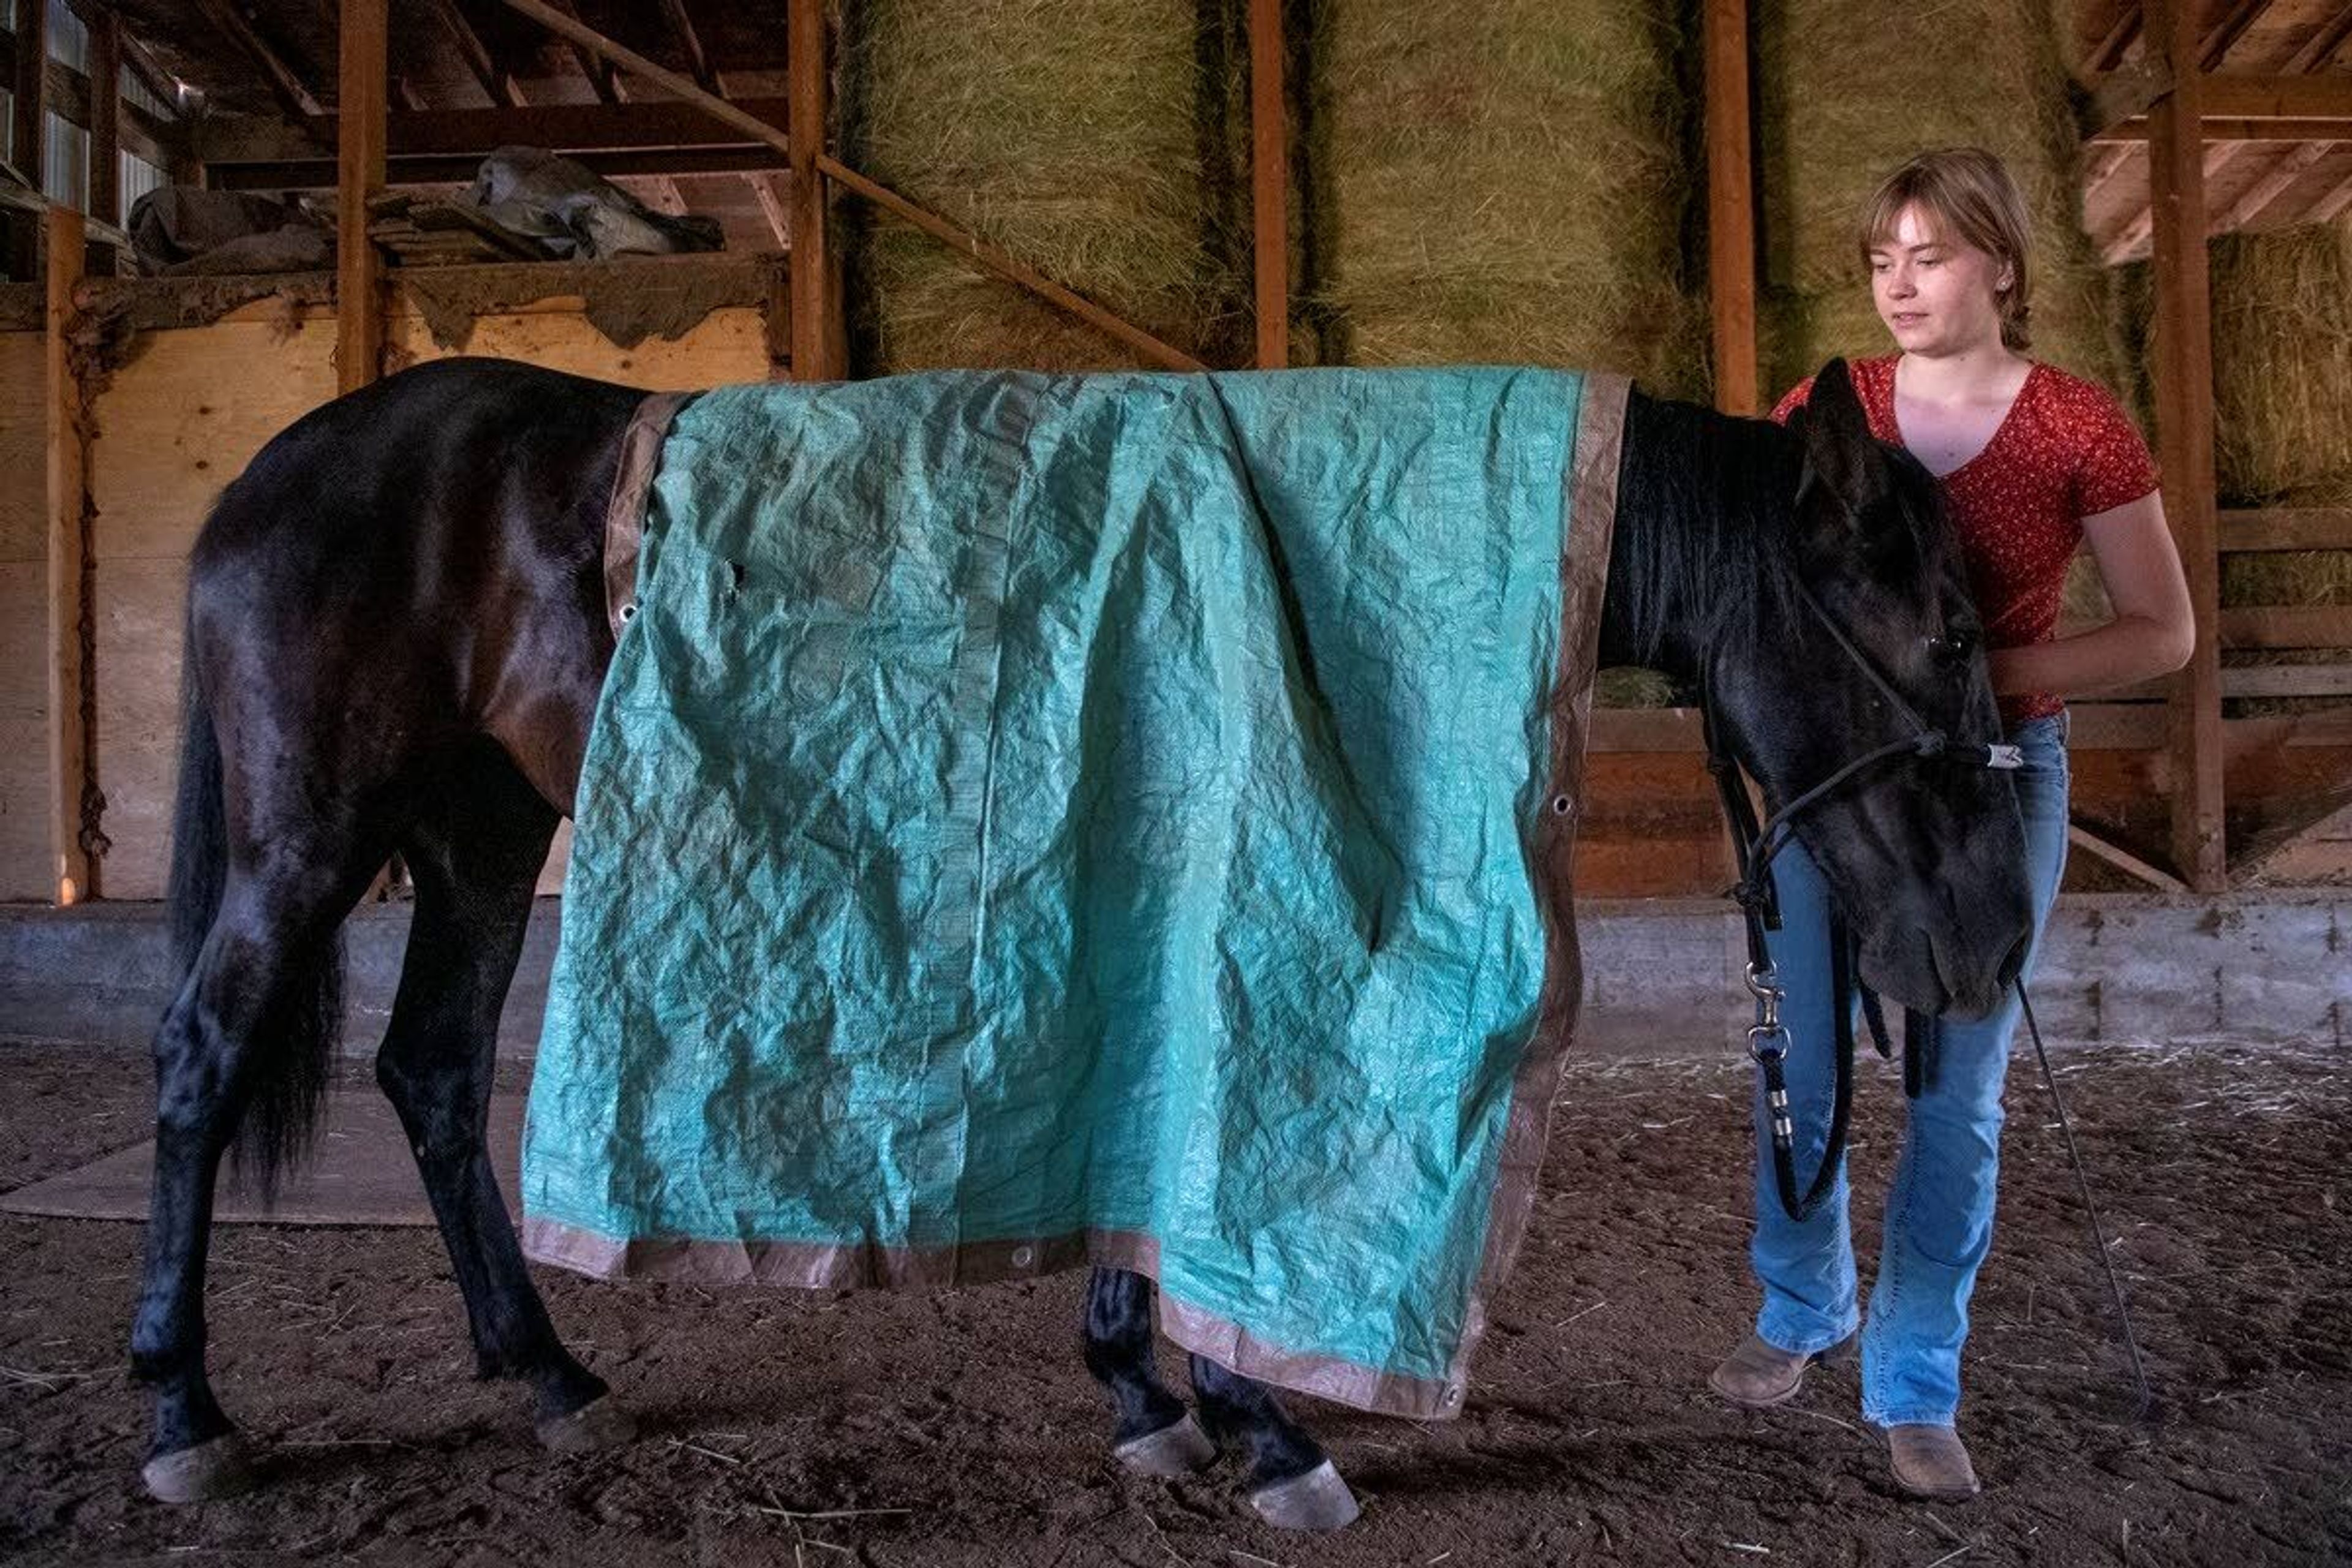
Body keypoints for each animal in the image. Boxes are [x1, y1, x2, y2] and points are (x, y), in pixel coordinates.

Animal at [133, 352, 2041, 1523]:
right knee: (201, 1061)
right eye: (1944, 635)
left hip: (476, 834)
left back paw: (545, 1372)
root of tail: (273, 474)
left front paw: (1156, 1399)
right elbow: (1191, 1141)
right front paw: (1262, 1430)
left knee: (431, 1073)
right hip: (315, 834)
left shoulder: (1150, 863)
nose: (1987, 948)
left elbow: (1143, 1139)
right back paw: (185, 1417)